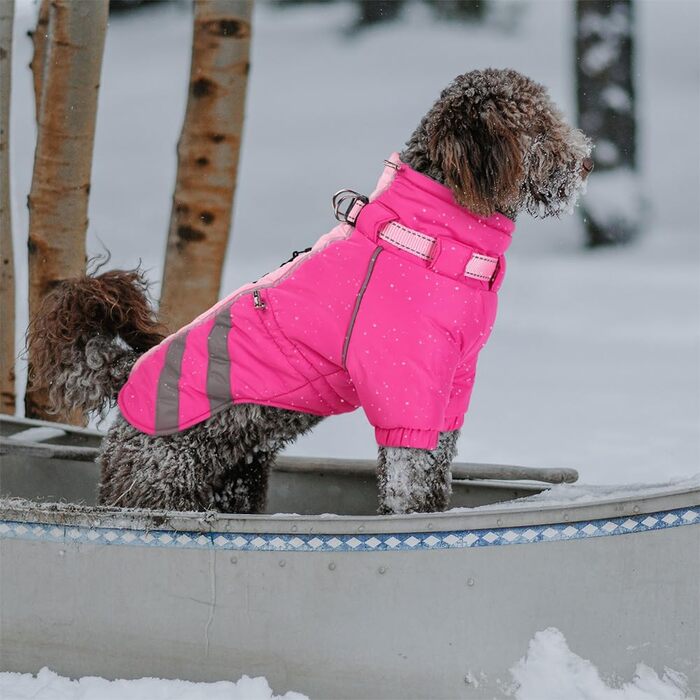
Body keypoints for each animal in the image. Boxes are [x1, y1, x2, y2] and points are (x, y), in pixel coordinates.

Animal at [26, 69, 592, 516]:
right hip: (159, 486)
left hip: (236, 481)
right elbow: (410, 483)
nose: (587, 162)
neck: (429, 237)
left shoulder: (451, 386)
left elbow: (436, 470)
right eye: (540, 127)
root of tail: (123, 377)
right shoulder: (404, 387)